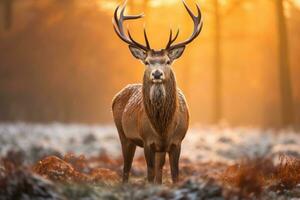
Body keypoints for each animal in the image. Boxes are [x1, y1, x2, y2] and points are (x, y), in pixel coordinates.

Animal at [111, 0, 203, 184]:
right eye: (147, 61)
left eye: (167, 61)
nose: (157, 74)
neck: (163, 129)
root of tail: (116, 97)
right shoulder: (147, 141)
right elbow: (150, 174)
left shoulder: (177, 142)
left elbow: (174, 174)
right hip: (124, 135)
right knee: (126, 169)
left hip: (158, 148)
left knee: (159, 171)